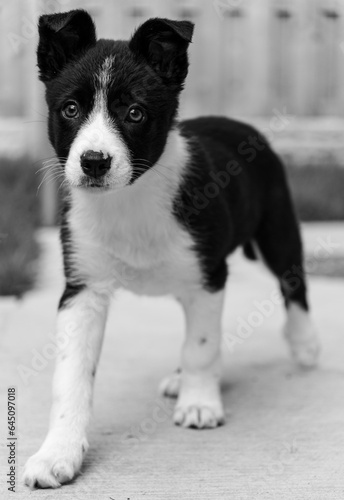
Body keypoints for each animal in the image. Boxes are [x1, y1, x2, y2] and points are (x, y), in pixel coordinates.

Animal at [24, 8, 320, 488]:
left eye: (135, 113)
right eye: (70, 109)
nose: (94, 162)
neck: (129, 199)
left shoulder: (209, 276)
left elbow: (200, 344)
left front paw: (199, 403)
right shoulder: (82, 289)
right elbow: (70, 378)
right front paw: (57, 454)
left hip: (276, 230)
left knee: (293, 282)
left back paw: (304, 343)